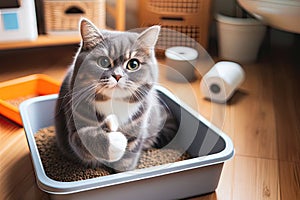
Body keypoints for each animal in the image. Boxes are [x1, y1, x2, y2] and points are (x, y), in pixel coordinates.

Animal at [54, 19, 178, 172]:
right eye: (103, 62)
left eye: (133, 64)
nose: (118, 75)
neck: (114, 101)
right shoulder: (74, 122)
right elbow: (86, 139)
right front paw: (115, 138)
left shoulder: (138, 127)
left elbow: (128, 158)